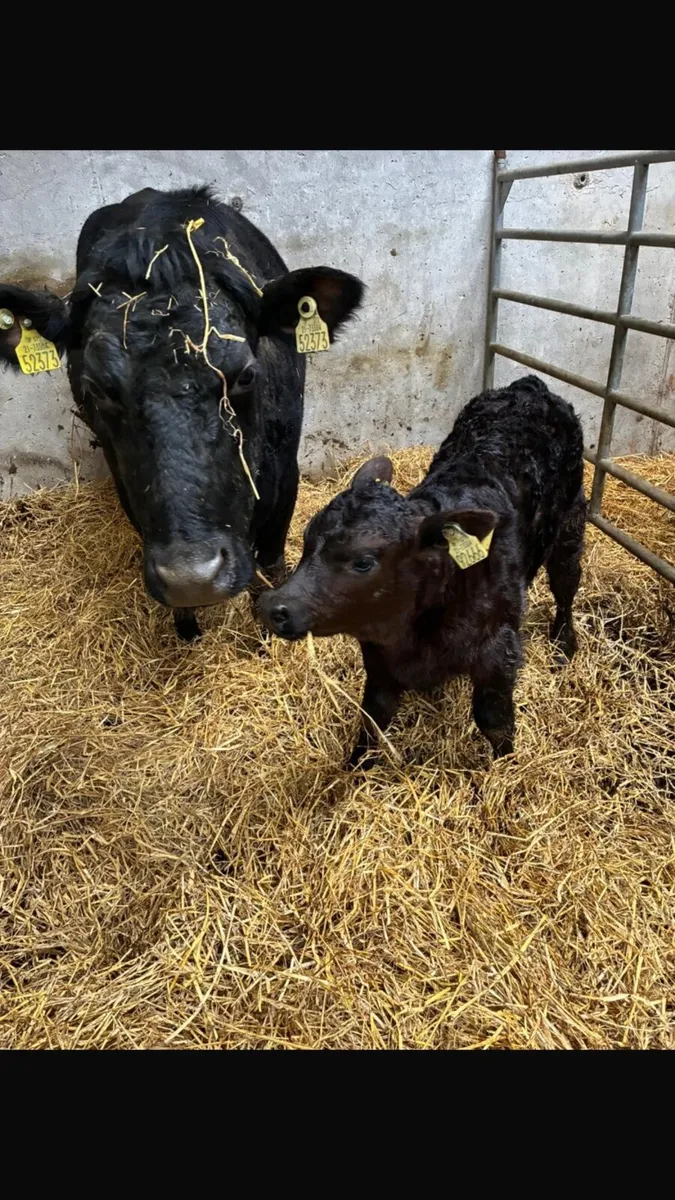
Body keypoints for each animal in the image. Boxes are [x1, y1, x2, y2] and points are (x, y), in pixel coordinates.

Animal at [0, 185, 364, 641]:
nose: (193, 579)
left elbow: (271, 564)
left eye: (246, 375)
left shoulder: (285, 477)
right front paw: (188, 628)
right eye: (97, 388)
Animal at [259, 375, 586, 768]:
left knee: (566, 586)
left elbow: (495, 721)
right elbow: (374, 715)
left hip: (570, 526)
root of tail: (529, 385)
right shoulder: (379, 656)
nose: (274, 607)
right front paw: (353, 768)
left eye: (364, 561)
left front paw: (505, 770)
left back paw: (563, 643)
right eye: (306, 540)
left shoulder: (499, 652)